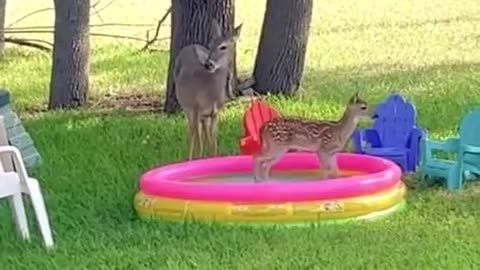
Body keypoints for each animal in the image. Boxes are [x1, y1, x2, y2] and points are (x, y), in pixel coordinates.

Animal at [173, 21, 244, 160]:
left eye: (223, 47)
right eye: (210, 45)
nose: (208, 64)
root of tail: (190, 45)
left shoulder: (215, 113)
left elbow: (213, 140)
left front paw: (213, 159)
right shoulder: (195, 108)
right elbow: (196, 138)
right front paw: (193, 161)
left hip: (204, 116)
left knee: (204, 135)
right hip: (187, 107)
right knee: (194, 133)